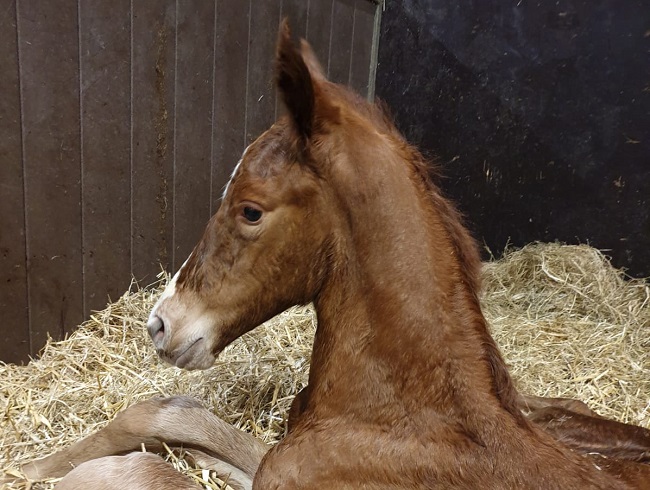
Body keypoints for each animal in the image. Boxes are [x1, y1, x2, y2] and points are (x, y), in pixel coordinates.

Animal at [22, 21, 644, 488]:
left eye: (250, 210)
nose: (159, 323)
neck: (405, 418)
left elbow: (156, 453)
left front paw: (40, 467)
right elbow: (181, 415)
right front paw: (40, 463)